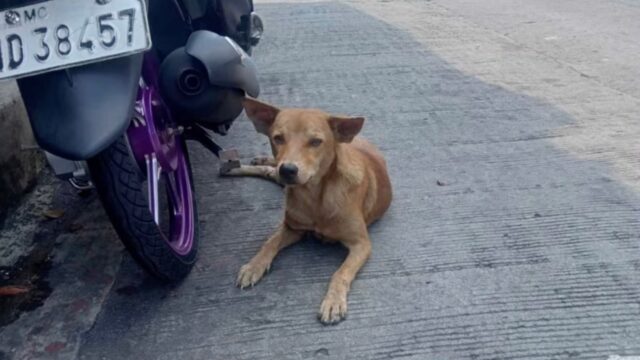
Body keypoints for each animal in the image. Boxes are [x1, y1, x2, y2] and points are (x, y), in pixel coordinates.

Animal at [221, 97, 390, 324]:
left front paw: (333, 301)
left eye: (316, 142)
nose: (288, 170)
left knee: (269, 171)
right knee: (268, 169)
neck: (315, 196)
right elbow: (269, 242)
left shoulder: (361, 244)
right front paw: (254, 265)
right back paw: (239, 165)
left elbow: (340, 273)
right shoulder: (293, 228)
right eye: (278, 138)